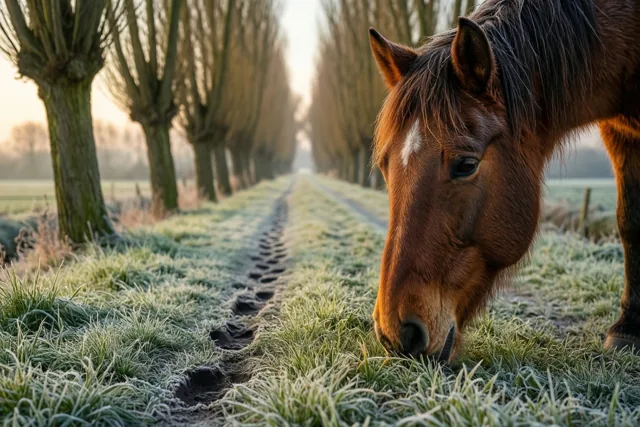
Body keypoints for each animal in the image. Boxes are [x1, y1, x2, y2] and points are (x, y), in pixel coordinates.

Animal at [368, 0, 640, 362]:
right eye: (384, 166)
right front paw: (629, 328)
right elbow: (630, 223)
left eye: (467, 165)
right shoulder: (620, 133)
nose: (396, 333)